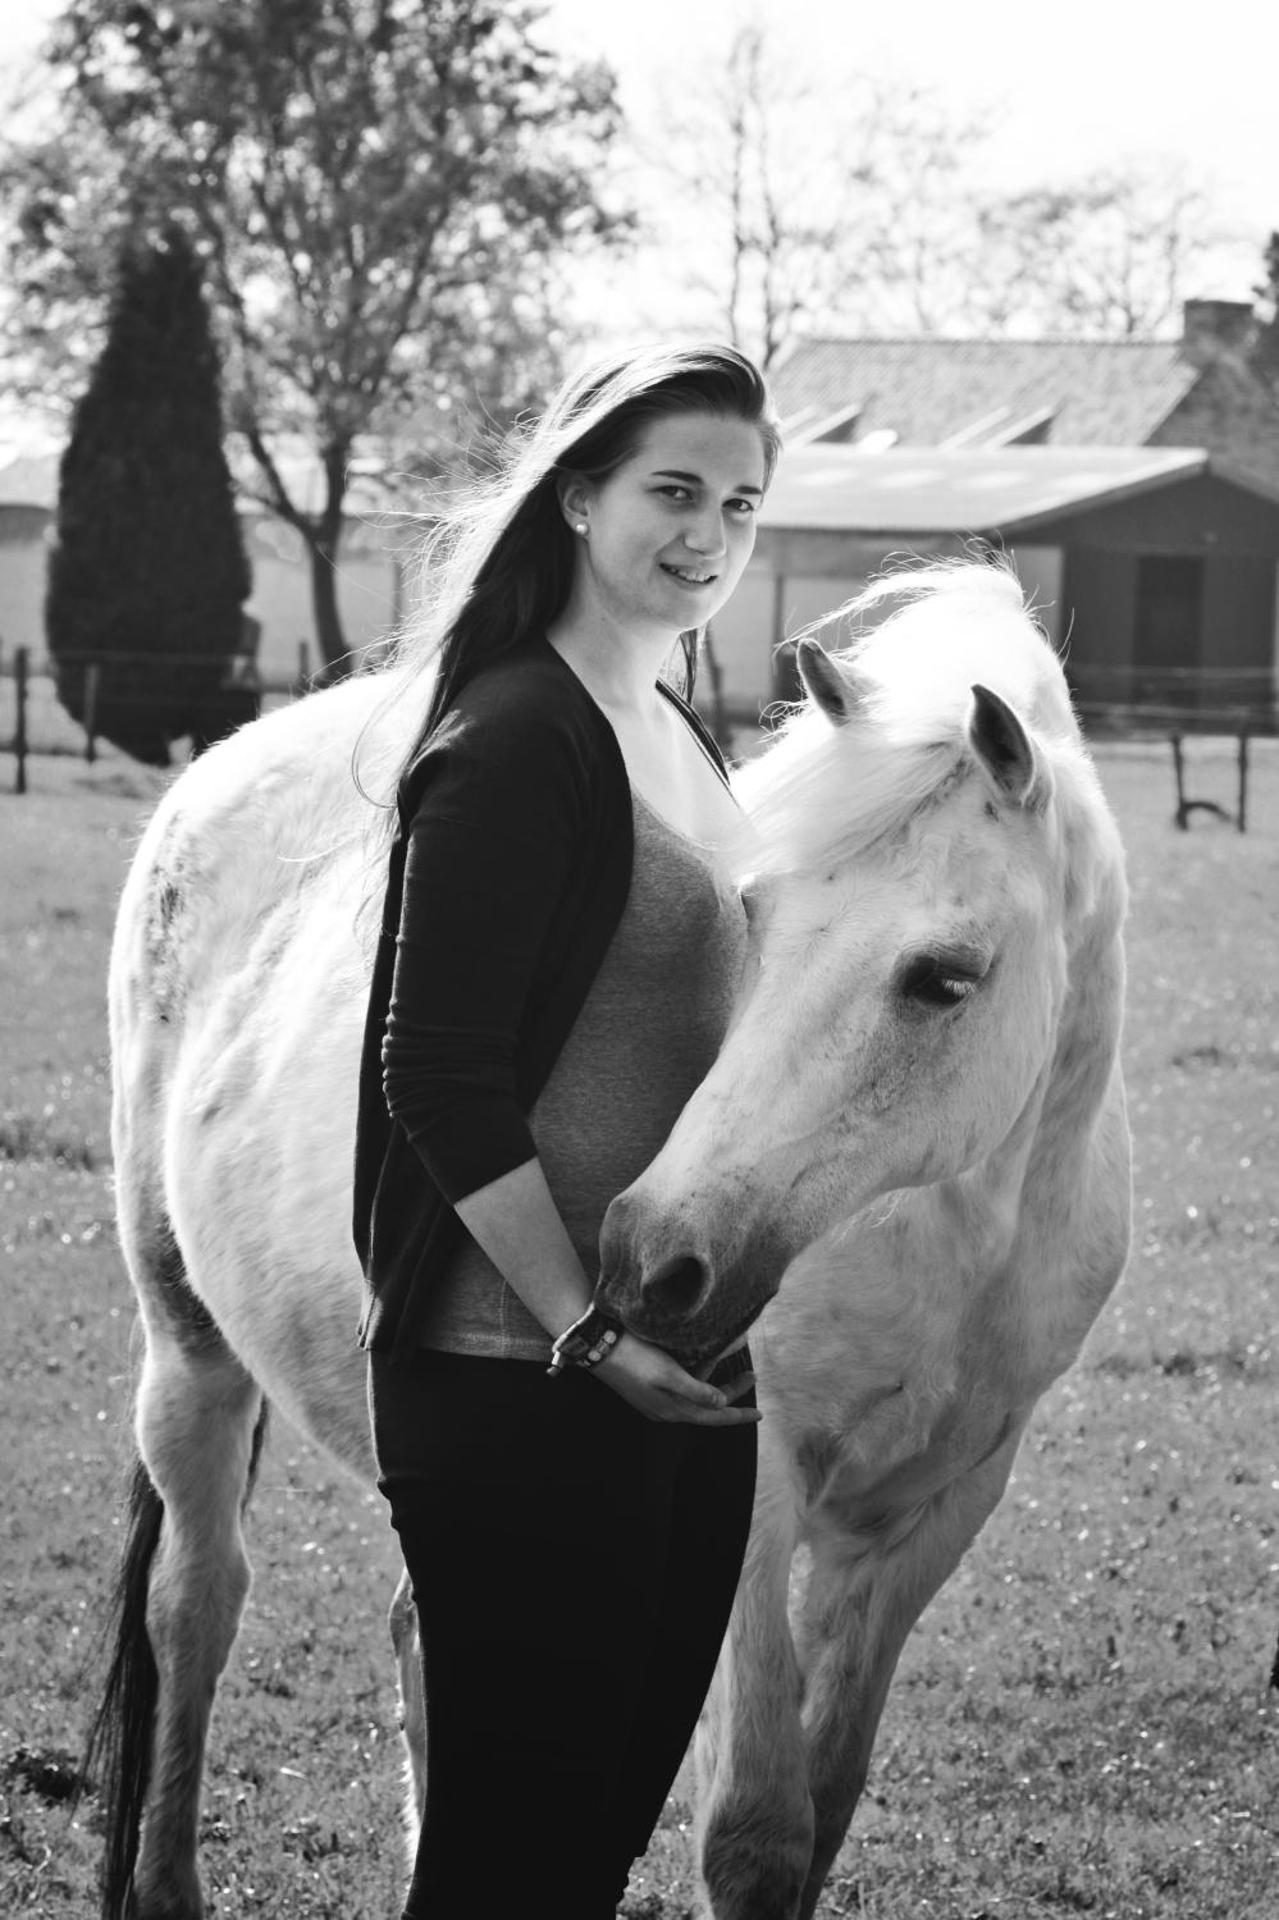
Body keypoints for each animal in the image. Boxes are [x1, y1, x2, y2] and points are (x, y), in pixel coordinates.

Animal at [87, 559, 1130, 1920]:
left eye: (943, 979)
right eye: (754, 916)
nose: (650, 1260)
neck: (961, 1229)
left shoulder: (935, 1511)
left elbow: (825, 1806)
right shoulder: (754, 1496)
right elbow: (755, 1832)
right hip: (189, 1346)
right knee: (195, 1606)